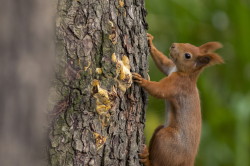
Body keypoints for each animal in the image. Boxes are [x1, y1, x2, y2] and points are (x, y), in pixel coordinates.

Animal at [134, 33, 224, 166]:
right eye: (188, 43)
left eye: (188, 56)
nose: (173, 45)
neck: (186, 74)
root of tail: (188, 161)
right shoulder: (170, 68)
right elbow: (163, 63)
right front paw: (150, 41)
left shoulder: (177, 85)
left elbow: (159, 89)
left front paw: (142, 81)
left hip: (166, 140)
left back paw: (146, 159)